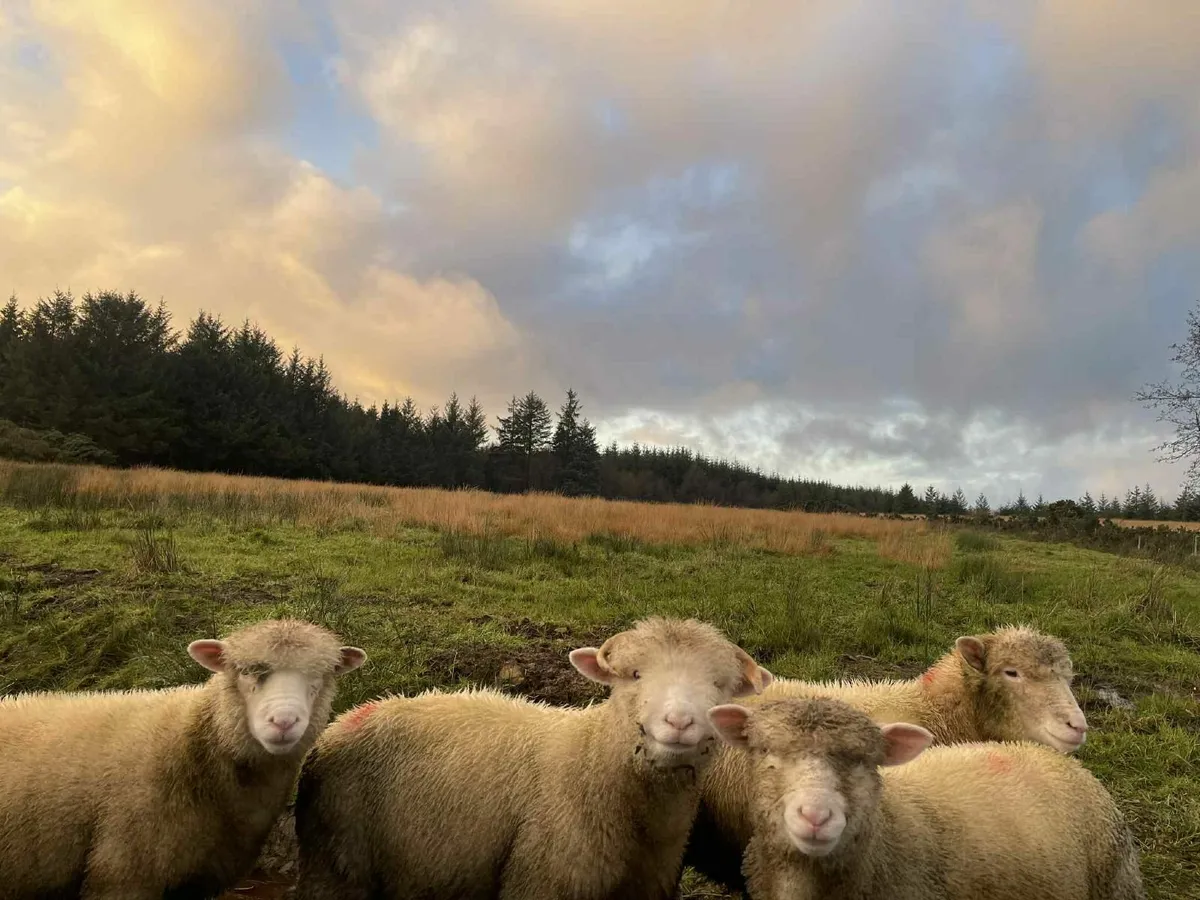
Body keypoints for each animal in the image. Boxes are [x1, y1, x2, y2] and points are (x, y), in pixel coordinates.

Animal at [293, 616, 773, 900]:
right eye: (634, 675)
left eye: (719, 684)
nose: (679, 722)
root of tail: (354, 716)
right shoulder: (542, 878)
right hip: (337, 866)